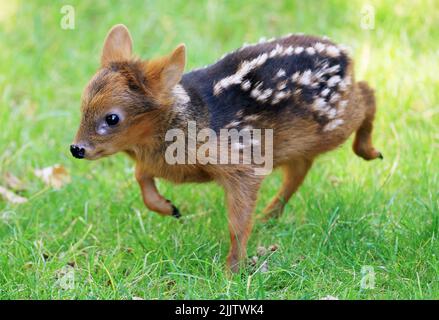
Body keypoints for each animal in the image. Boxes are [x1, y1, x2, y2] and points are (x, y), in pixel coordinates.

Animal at [72, 23, 382, 272]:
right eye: (83, 106)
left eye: (112, 118)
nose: (76, 149)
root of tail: (345, 54)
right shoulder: (158, 163)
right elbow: (141, 176)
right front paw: (170, 208)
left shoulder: (240, 161)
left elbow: (237, 222)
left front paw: (232, 270)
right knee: (301, 166)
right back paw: (268, 216)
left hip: (334, 121)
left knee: (367, 93)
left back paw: (370, 151)